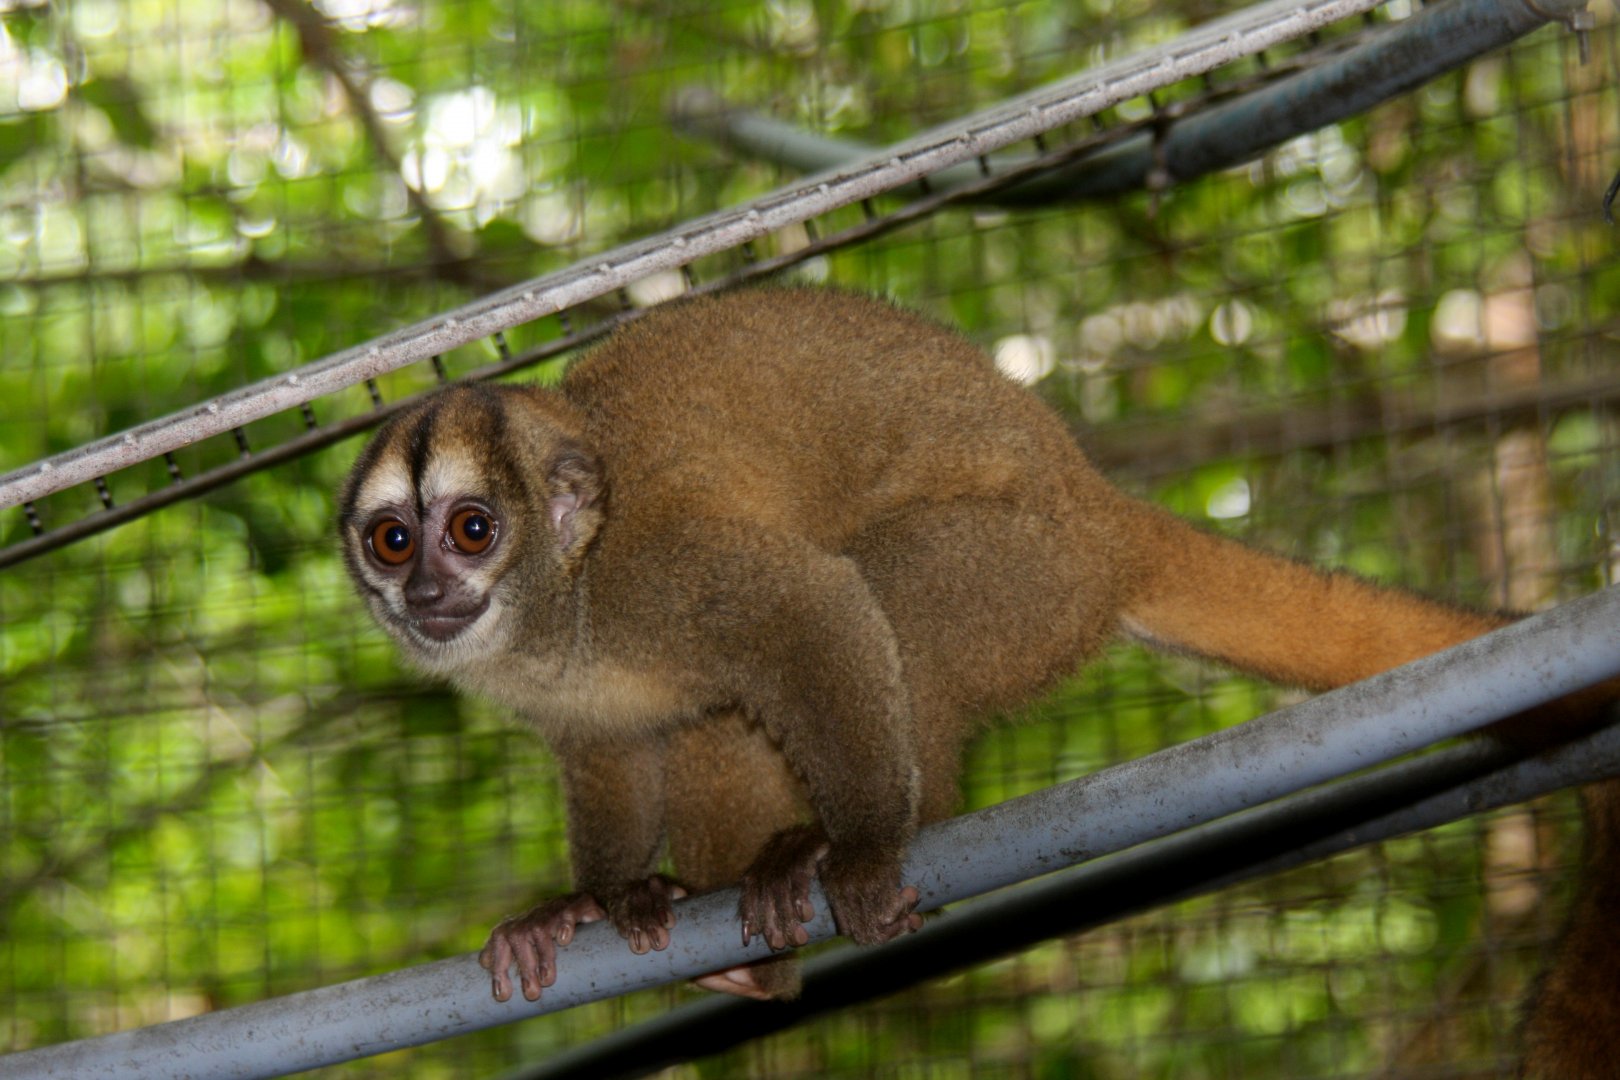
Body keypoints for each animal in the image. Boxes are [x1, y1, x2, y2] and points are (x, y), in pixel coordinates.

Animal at [338, 286, 1617, 1070]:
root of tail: (1100, 511)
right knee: (709, 724)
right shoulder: (563, 683)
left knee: (878, 592)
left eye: (470, 528)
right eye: (392, 542)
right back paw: (751, 968)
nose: (426, 593)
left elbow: (811, 608)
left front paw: (858, 845)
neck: (562, 604)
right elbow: (611, 749)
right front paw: (588, 903)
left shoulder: (663, 570)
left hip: (1022, 578)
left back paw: (857, 842)